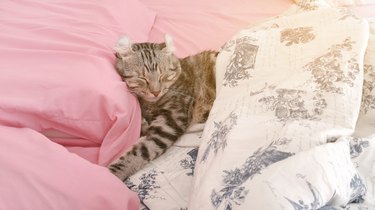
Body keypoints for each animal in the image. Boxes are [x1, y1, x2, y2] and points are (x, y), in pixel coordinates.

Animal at [108, 34, 219, 180]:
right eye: (142, 78)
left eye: (162, 76)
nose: (156, 92)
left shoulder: (169, 124)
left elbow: (139, 153)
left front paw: (110, 174)